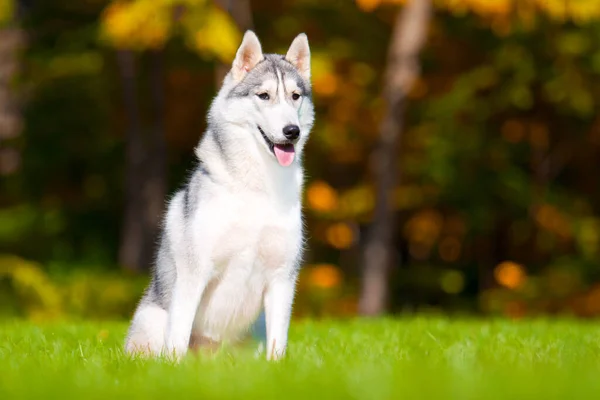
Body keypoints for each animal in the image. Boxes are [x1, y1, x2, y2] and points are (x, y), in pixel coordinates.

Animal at [125, 30, 316, 362]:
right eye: (263, 96)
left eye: (295, 96)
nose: (292, 131)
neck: (258, 188)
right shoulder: (194, 273)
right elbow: (179, 337)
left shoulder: (282, 279)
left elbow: (278, 342)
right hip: (153, 317)